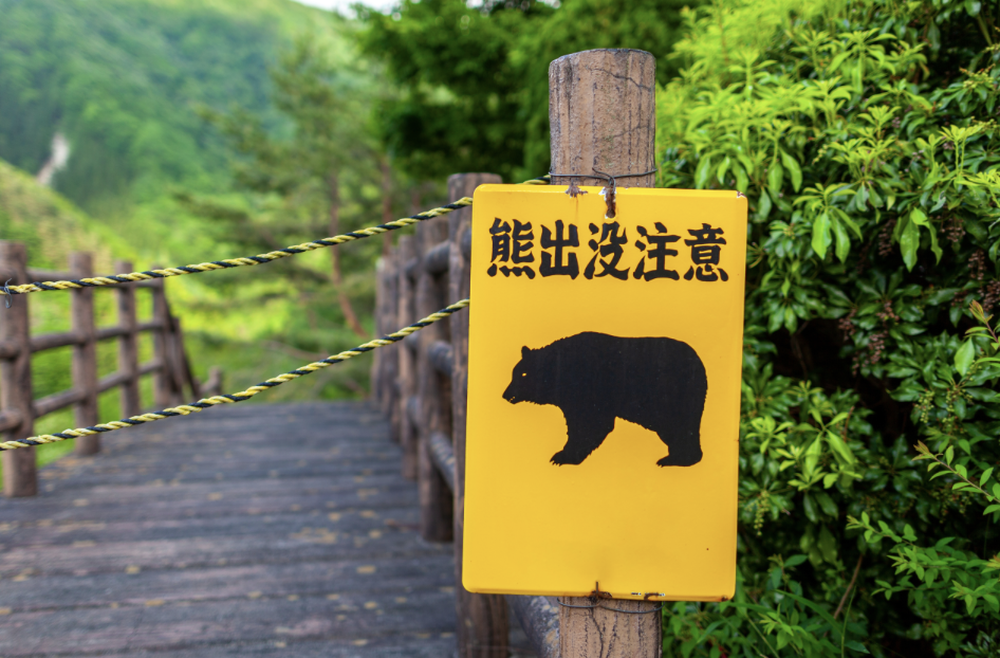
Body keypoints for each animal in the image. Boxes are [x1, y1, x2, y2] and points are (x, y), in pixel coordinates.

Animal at [502, 332, 707, 467]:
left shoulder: (590, 390)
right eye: (514, 373)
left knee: (680, 426)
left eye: (523, 374)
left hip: (673, 397)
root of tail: (699, 361)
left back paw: (676, 460)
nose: (505, 394)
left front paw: (562, 456)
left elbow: (591, 424)